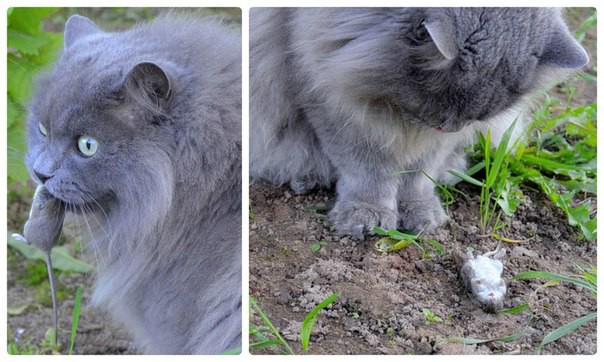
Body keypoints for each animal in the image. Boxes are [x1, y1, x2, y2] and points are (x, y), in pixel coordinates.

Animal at [250, 7, 588, 239]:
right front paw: (366, 215)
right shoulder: (328, 98)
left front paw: (421, 215)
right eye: (442, 105)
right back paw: (306, 178)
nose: (449, 128)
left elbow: (419, 176)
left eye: (474, 117)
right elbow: (368, 170)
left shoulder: (435, 143)